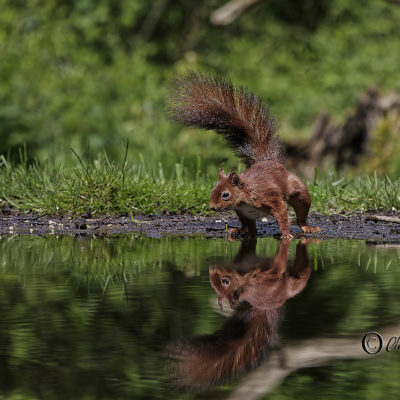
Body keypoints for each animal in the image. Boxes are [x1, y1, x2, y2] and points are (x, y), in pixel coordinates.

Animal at [170, 72, 320, 238]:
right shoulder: (243, 211)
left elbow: (281, 215)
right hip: (245, 215)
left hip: (299, 192)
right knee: (250, 228)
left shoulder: (270, 198)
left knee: (301, 213)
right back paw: (239, 230)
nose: (212, 207)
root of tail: (270, 161)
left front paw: (286, 234)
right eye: (212, 191)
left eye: (225, 195)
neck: (244, 198)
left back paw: (307, 227)